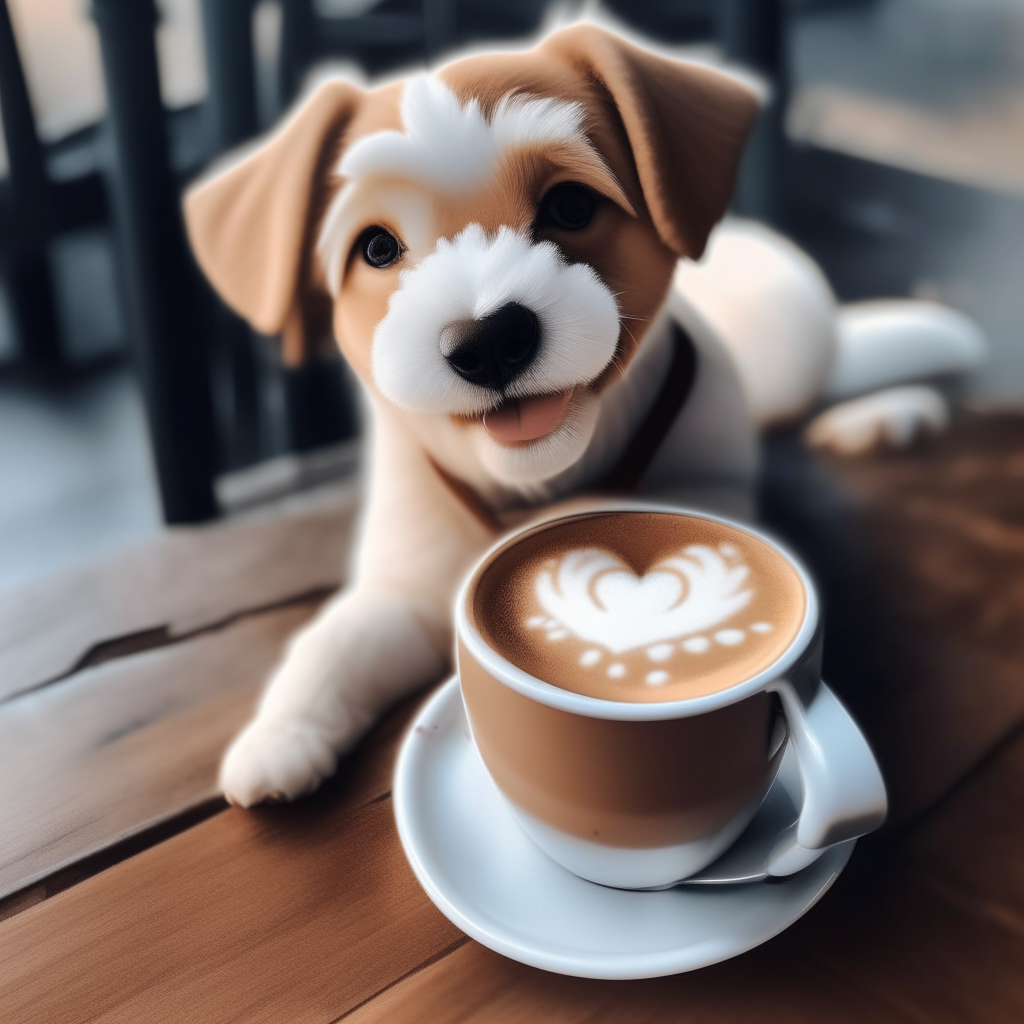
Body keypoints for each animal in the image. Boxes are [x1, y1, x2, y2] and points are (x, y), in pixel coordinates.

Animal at [184, 24, 983, 802]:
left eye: (570, 205)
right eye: (376, 247)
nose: (488, 343)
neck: (537, 480)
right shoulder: (403, 589)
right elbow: (335, 642)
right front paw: (280, 734)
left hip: (787, 343)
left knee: (836, 371)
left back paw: (888, 413)